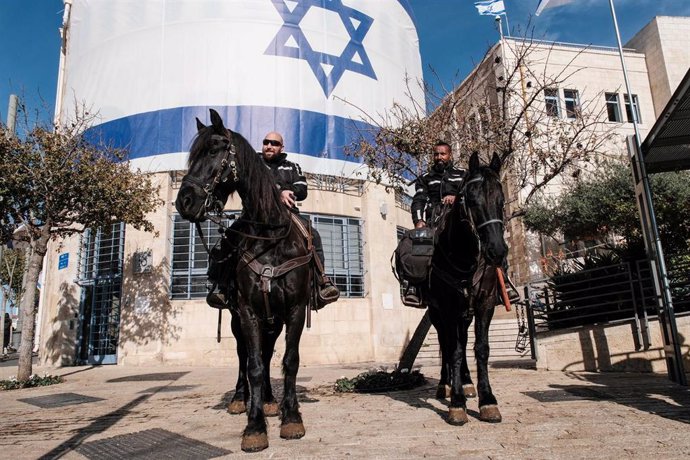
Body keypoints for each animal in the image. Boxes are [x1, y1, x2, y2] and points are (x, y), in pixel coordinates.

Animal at [175, 108, 312, 452]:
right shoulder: (248, 311)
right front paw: (254, 427)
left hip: (273, 320)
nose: (184, 202)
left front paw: (291, 418)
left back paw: (270, 401)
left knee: (267, 352)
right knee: (243, 355)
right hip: (238, 318)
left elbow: (289, 360)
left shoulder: (293, 309)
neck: (270, 237)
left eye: (214, 150)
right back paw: (241, 399)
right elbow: (252, 365)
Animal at [424, 151, 506, 424]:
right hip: (436, 312)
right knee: (446, 342)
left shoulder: (485, 302)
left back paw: (467, 382)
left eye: (501, 200)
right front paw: (456, 403)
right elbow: (455, 350)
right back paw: (445, 385)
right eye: (471, 200)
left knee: (462, 338)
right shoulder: (448, 307)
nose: (497, 251)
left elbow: (481, 348)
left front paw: (487, 400)